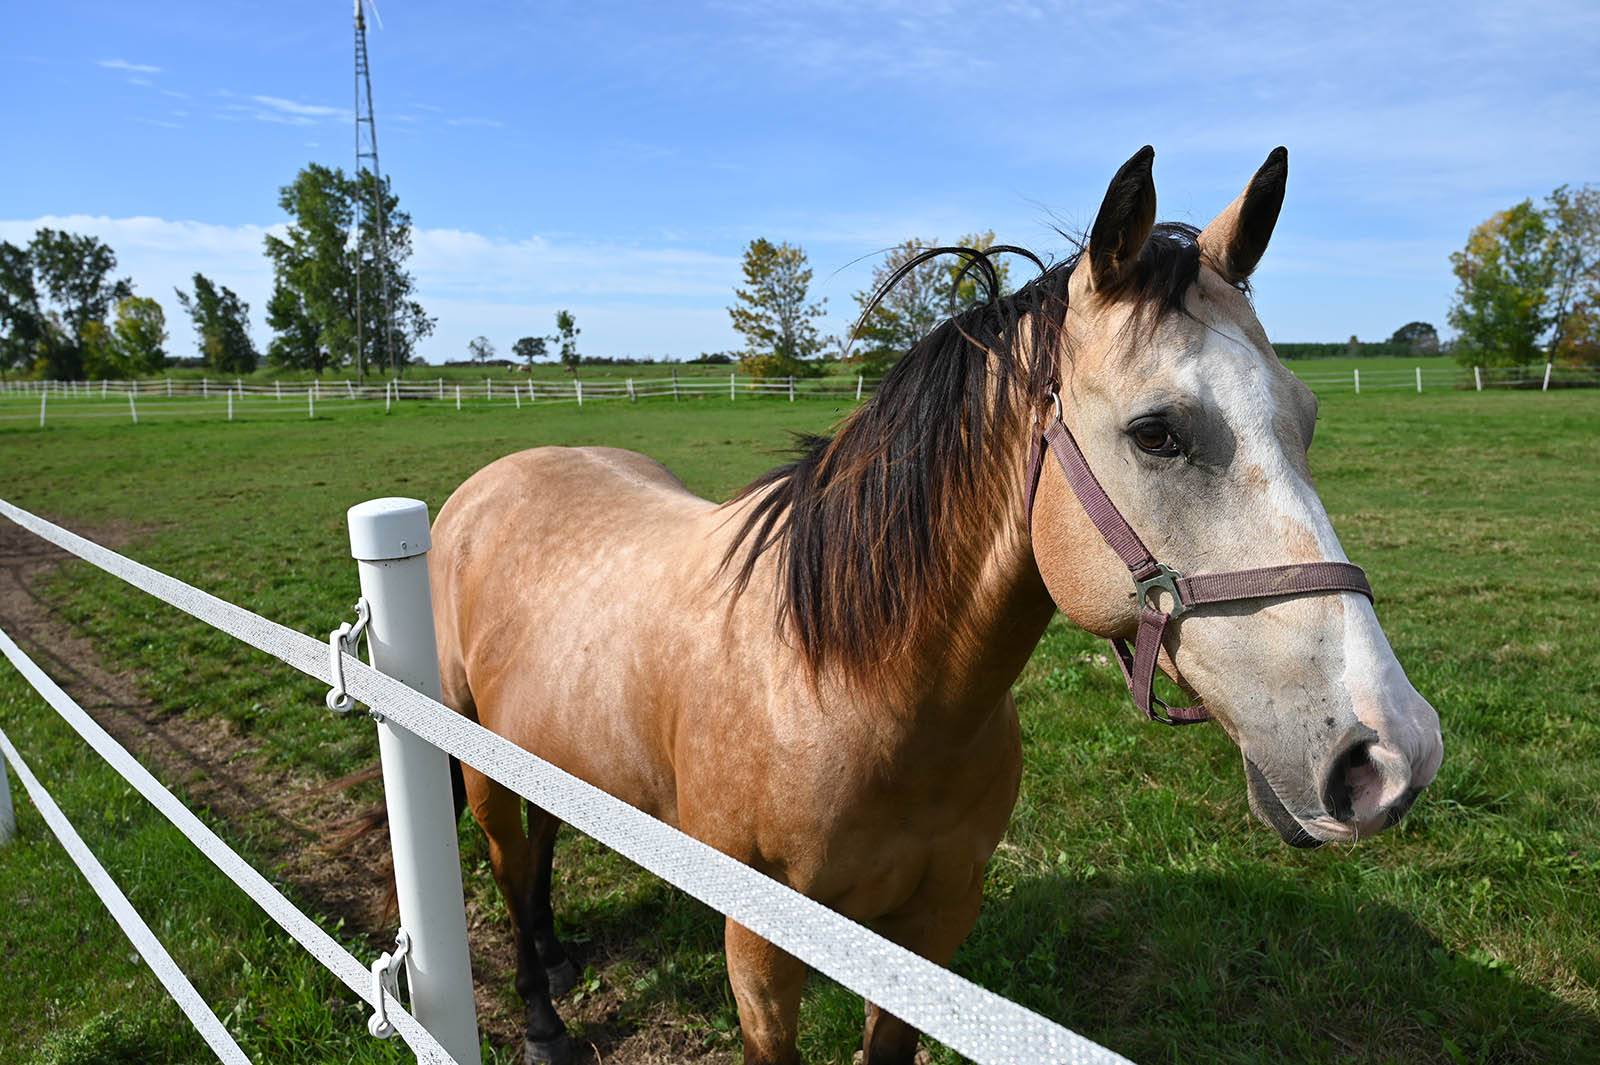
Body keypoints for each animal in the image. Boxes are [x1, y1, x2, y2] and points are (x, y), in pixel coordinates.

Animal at [432, 147, 1446, 1061]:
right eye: (1156, 433)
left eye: (1306, 417)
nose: (1393, 754)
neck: (851, 688)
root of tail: (491, 480)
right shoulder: (758, 948)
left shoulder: (932, 925)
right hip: (480, 762)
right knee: (509, 866)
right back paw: (542, 1016)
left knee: (545, 841)